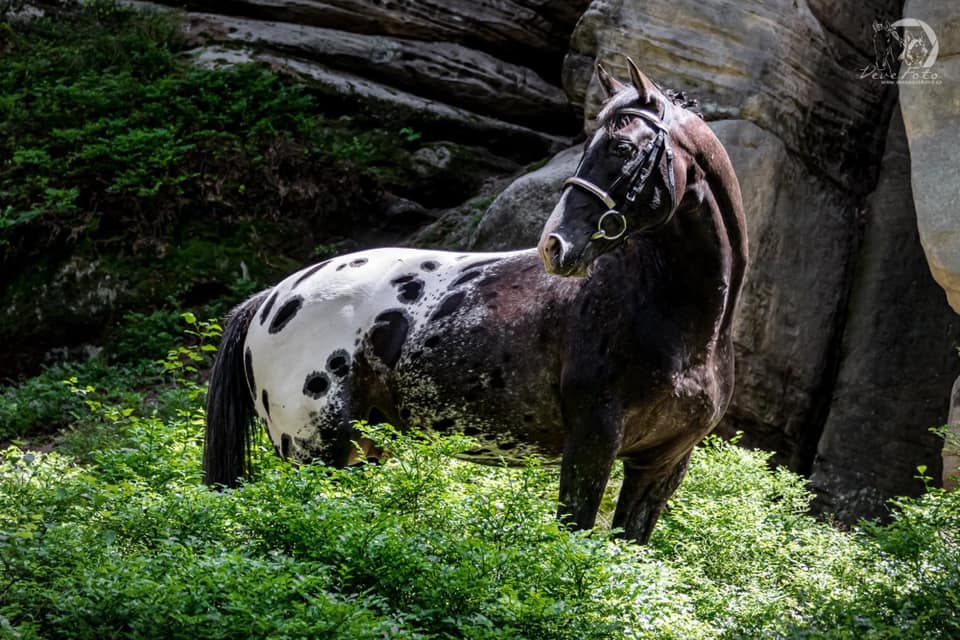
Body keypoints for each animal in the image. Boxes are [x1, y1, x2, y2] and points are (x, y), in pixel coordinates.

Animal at [204, 59, 748, 544]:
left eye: (622, 147)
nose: (556, 246)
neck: (682, 328)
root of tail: (271, 298)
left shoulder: (660, 464)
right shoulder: (591, 447)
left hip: (357, 453)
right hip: (313, 454)